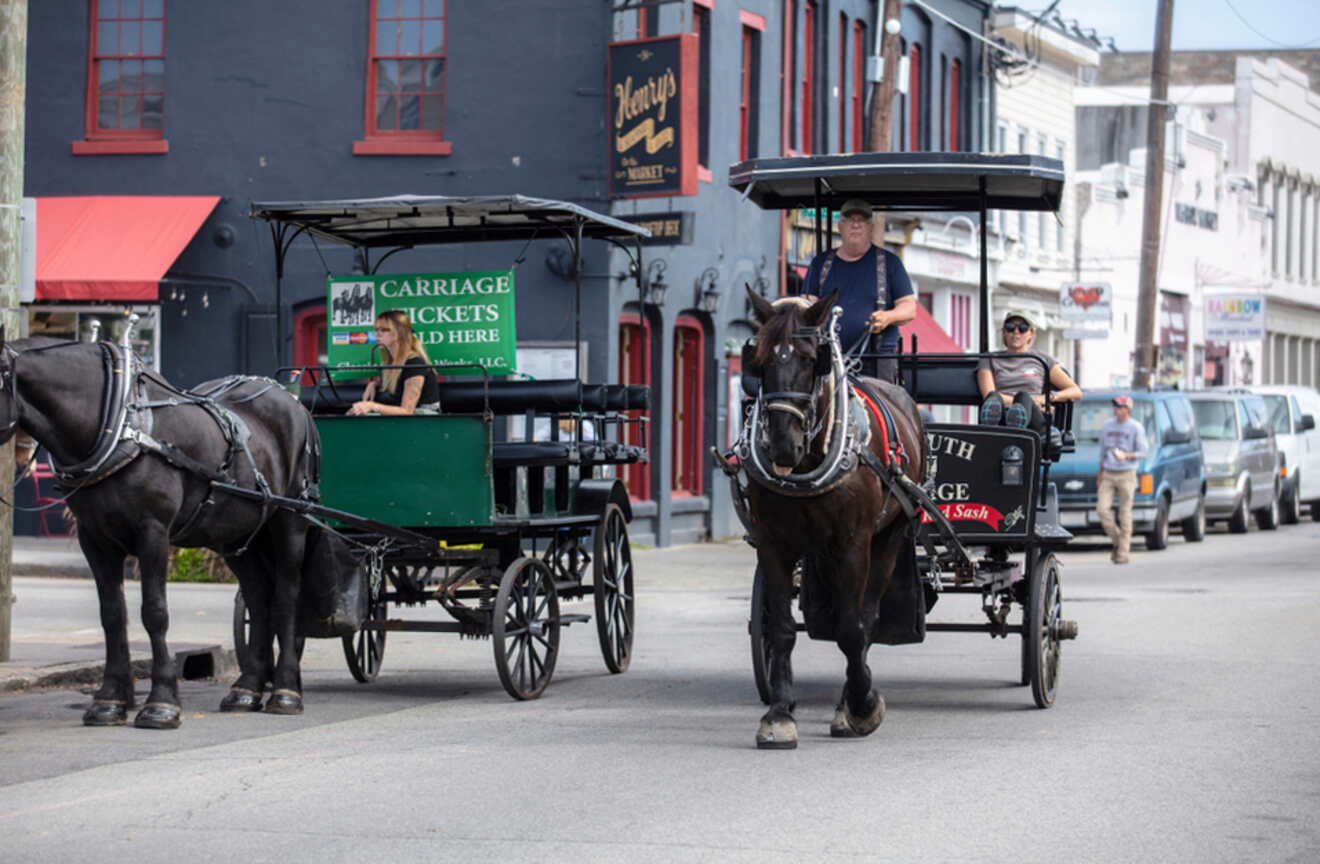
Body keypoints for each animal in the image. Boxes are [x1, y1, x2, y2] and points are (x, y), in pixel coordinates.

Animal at [0, 335, 319, 728]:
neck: (118, 425)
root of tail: (292, 401)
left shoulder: (152, 532)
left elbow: (154, 613)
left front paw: (161, 702)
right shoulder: (94, 539)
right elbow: (112, 614)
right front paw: (110, 699)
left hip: (291, 521)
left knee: (286, 597)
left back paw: (286, 691)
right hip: (236, 535)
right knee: (259, 598)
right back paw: (246, 689)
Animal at [744, 290, 929, 749]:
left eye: (814, 359)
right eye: (758, 359)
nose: (782, 446)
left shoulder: (853, 544)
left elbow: (851, 629)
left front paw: (863, 705)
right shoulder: (773, 543)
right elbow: (782, 628)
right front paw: (779, 712)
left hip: (889, 536)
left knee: (867, 618)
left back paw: (851, 698)